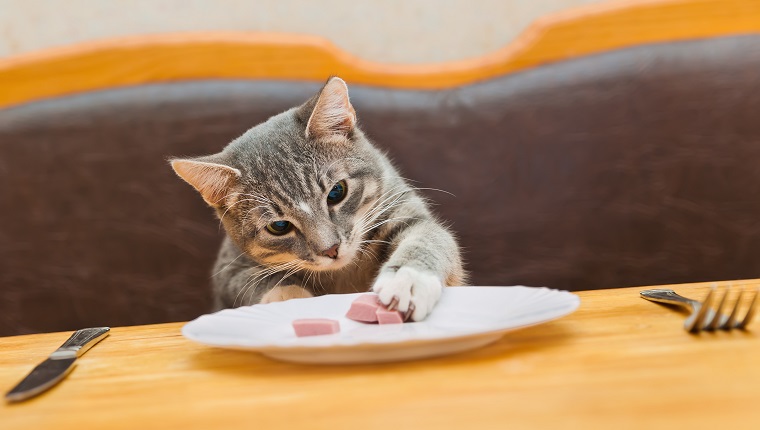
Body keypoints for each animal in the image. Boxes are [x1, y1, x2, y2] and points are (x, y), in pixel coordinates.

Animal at [171, 77, 466, 320]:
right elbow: (254, 283)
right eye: (279, 226)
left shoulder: (403, 211)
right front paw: (291, 298)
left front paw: (408, 280)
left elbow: (428, 238)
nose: (330, 249)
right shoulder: (229, 270)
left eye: (337, 192)